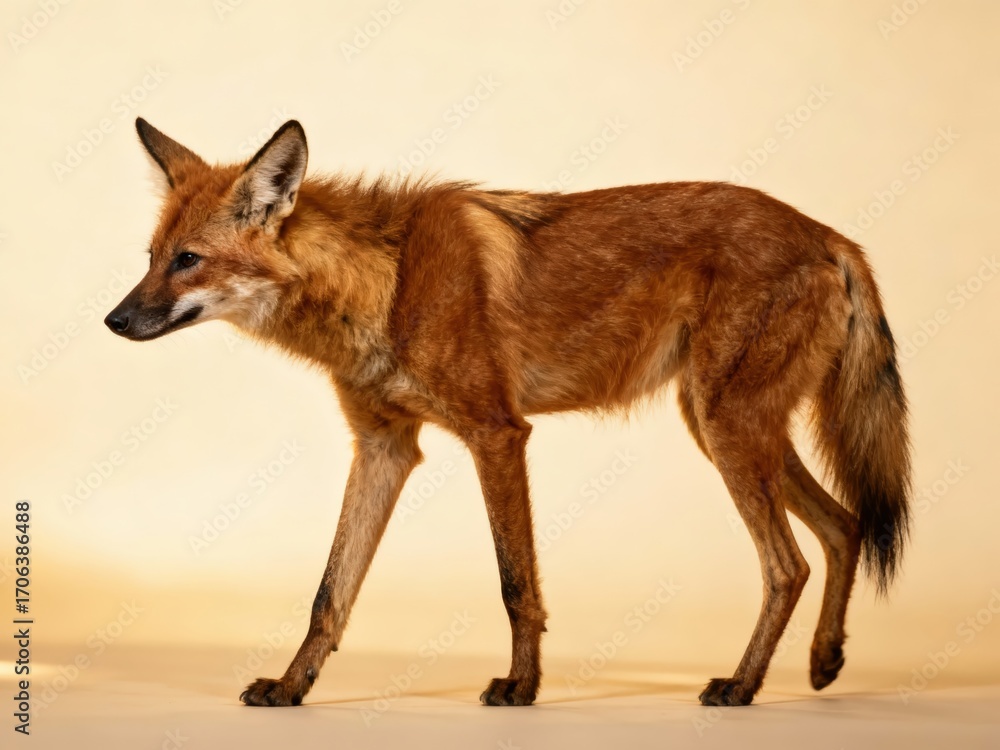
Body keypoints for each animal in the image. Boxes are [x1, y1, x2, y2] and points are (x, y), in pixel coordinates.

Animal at [106, 118, 911, 707]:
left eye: (187, 260)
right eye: (149, 257)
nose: (114, 320)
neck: (390, 283)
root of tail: (833, 236)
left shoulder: (497, 434)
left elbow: (515, 584)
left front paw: (522, 688)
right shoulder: (384, 448)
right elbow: (329, 594)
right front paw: (291, 688)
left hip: (728, 430)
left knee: (789, 565)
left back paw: (742, 685)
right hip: (729, 430)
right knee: (845, 526)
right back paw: (824, 662)